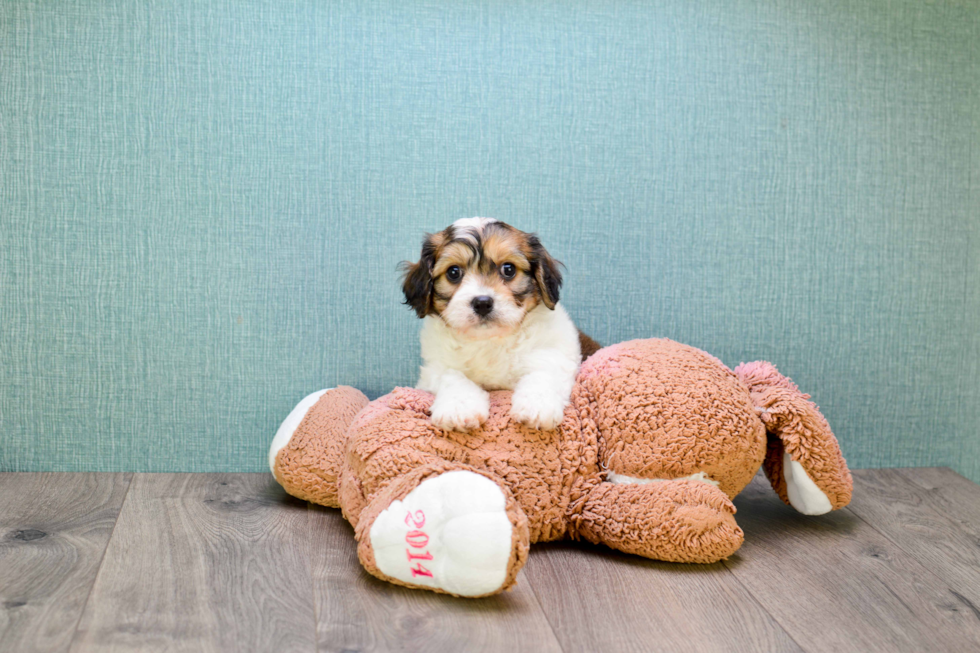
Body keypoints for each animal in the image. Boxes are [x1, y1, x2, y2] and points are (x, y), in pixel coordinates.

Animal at [398, 218, 596, 432]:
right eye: (453, 272)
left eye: (508, 269)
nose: (482, 303)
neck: (490, 340)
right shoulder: (434, 367)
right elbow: (451, 375)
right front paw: (459, 407)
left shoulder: (558, 351)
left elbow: (544, 371)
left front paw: (537, 405)